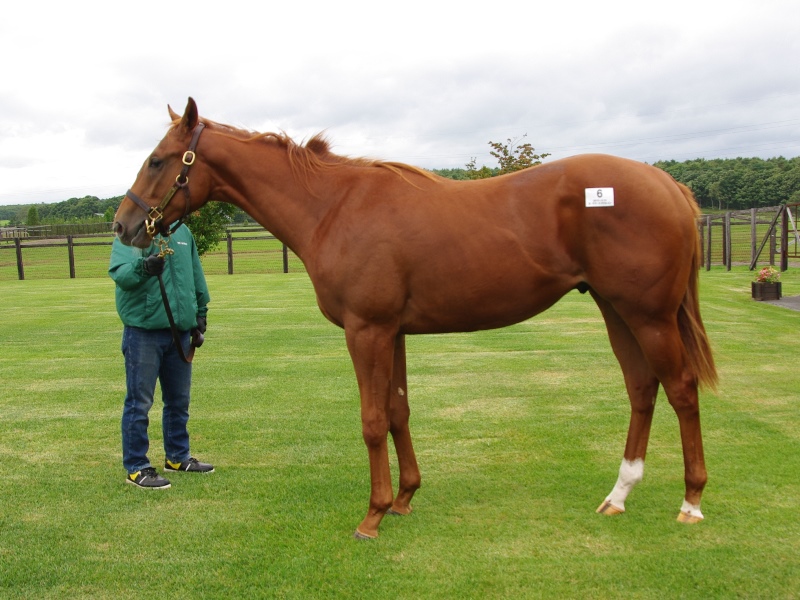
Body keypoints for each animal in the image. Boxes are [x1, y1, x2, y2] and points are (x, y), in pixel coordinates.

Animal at [114, 98, 720, 540]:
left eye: (159, 159)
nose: (124, 225)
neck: (332, 207)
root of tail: (668, 184)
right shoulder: (394, 333)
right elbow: (399, 412)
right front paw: (405, 498)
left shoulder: (367, 331)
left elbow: (372, 420)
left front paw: (373, 514)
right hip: (616, 310)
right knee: (642, 388)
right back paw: (618, 496)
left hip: (649, 315)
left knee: (681, 389)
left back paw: (691, 501)